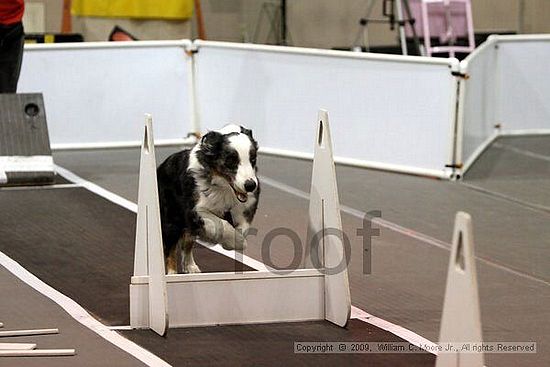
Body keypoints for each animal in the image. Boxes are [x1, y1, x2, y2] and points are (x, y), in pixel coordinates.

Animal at [157, 125, 260, 274]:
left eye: (252, 160)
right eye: (231, 161)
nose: (250, 185)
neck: (224, 187)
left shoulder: (246, 206)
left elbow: (243, 226)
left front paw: (235, 241)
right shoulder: (195, 210)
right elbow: (222, 224)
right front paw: (237, 242)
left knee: (187, 242)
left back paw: (191, 266)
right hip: (171, 217)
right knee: (171, 247)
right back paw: (172, 274)